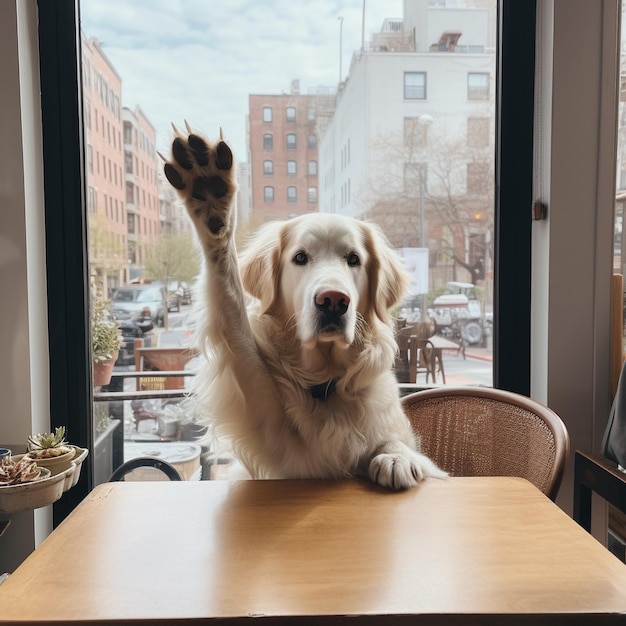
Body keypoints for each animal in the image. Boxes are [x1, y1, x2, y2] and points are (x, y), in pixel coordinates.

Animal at [161, 124, 444, 490]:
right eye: (299, 258)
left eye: (354, 259)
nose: (333, 301)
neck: (325, 384)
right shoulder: (265, 417)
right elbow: (231, 303)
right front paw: (211, 201)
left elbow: (398, 442)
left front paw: (397, 457)